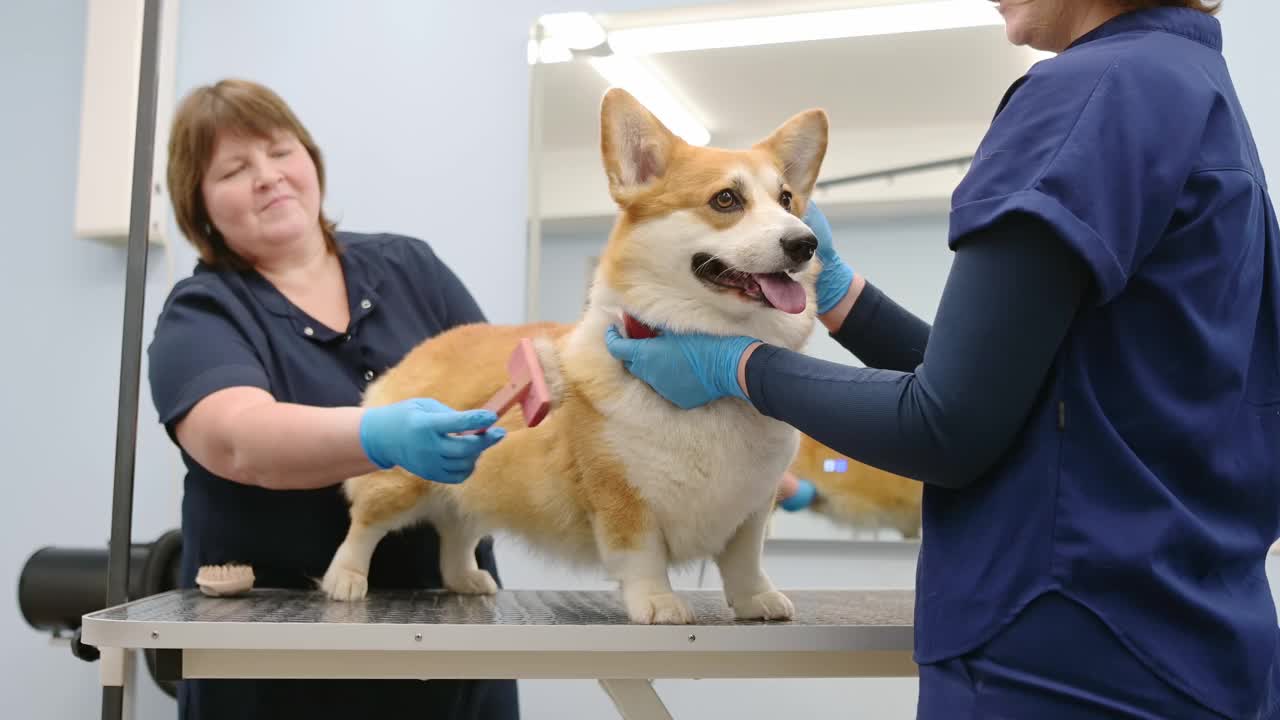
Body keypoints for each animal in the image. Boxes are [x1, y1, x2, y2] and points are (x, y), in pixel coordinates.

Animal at [314, 87, 824, 620]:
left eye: (787, 200)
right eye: (726, 199)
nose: (805, 243)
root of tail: (431, 344)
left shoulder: (752, 505)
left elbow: (745, 560)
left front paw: (757, 600)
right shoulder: (621, 497)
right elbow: (642, 556)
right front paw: (658, 603)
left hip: (472, 474)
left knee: (458, 529)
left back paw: (465, 580)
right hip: (402, 477)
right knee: (365, 523)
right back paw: (345, 579)